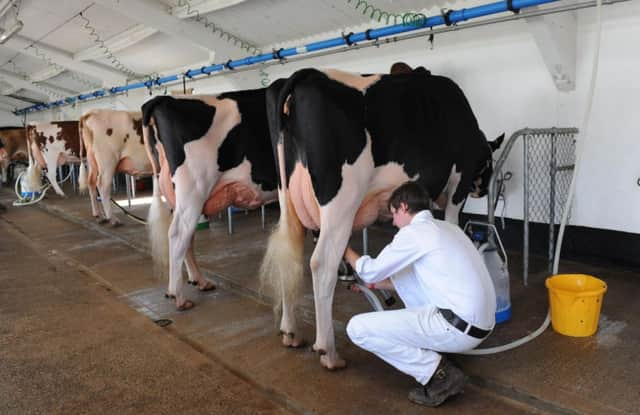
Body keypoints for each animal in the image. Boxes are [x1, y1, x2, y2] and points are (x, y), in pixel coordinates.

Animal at [141, 86, 282, 310]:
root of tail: (163, 99)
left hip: (180, 196)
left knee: (187, 237)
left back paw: (198, 281)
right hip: (194, 188)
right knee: (178, 233)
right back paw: (178, 296)